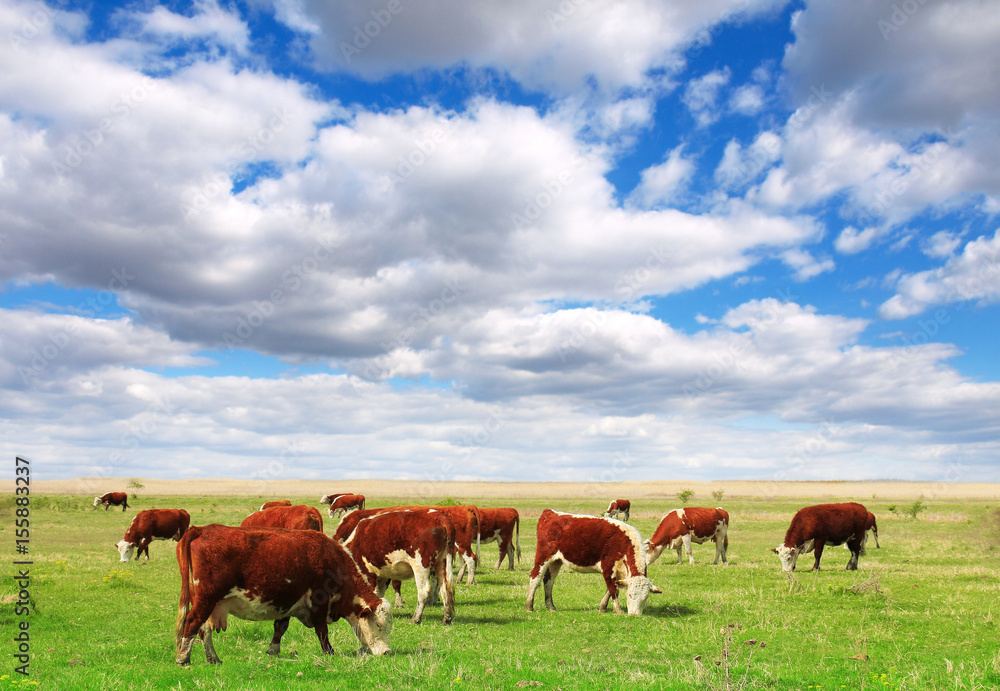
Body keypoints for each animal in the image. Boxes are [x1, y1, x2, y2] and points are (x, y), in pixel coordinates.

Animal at [172, 524, 390, 664]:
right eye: (379, 625)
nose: (387, 652)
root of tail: (202, 529)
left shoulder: (287, 602)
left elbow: (280, 628)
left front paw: (273, 651)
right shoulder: (318, 602)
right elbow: (322, 630)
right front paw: (329, 652)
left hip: (208, 602)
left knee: (203, 629)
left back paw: (213, 658)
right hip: (207, 599)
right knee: (192, 622)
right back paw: (183, 658)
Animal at [524, 508, 664, 616]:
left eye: (646, 597)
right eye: (629, 595)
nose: (635, 615)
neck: (624, 543)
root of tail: (551, 512)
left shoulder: (617, 573)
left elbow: (611, 589)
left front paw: (602, 607)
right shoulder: (607, 567)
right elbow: (613, 590)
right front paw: (618, 610)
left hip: (556, 561)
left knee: (549, 581)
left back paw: (551, 606)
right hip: (543, 557)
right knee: (535, 577)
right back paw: (529, 606)